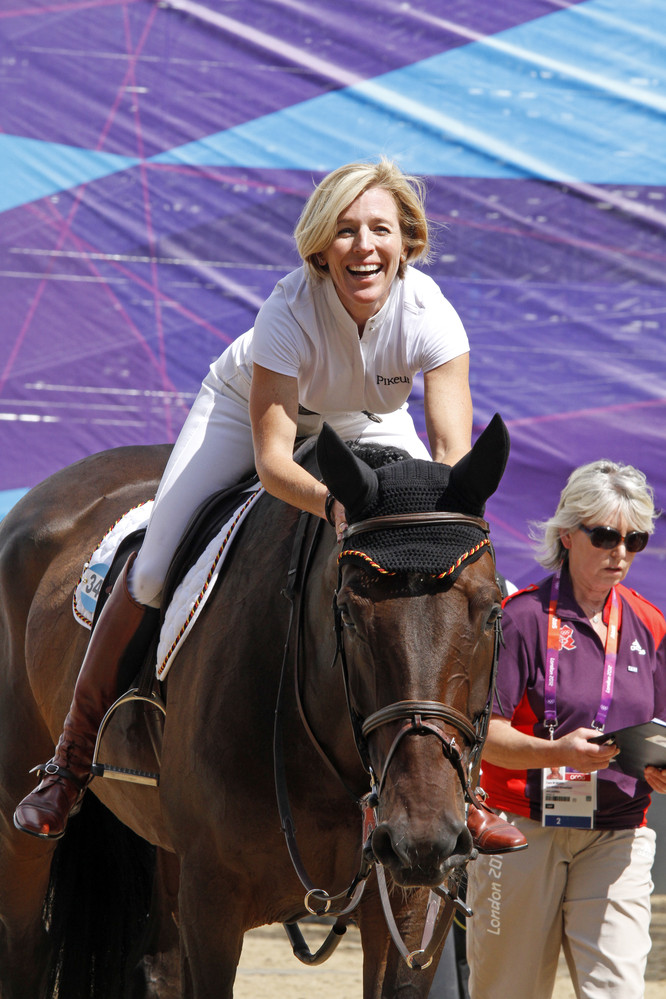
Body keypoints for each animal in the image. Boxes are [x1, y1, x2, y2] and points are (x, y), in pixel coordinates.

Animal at [0, 416, 508, 999]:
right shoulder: (212, 899)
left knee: (157, 966)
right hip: (20, 811)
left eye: (493, 610)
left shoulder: (411, 905)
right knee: (27, 948)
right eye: (346, 613)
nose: (421, 838)